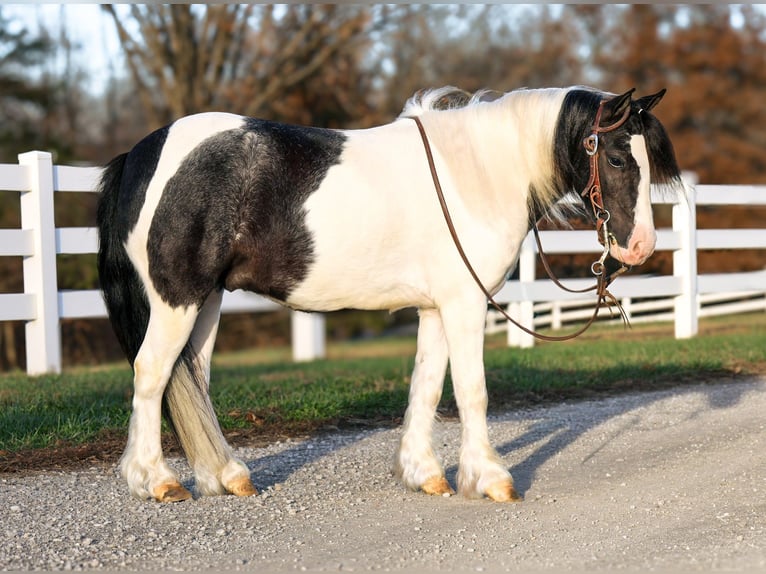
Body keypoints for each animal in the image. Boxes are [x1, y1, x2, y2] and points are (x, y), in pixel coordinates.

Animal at [96, 85, 681, 503]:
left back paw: (225, 475)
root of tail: (140, 154)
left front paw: (426, 474)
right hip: (178, 298)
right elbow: (471, 391)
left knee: (191, 378)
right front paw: (491, 479)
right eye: (617, 159)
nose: (641, 247)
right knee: (152, 374)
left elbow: (427, 387)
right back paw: (156, 481)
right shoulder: (465, 304)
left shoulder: (436, 307)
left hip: (207, 302)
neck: (475, 174)